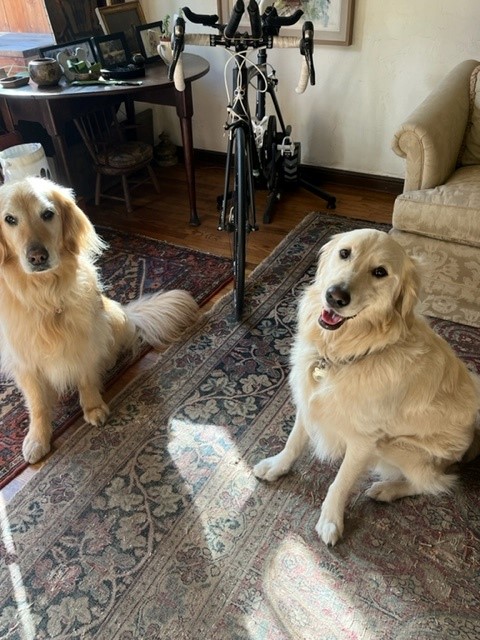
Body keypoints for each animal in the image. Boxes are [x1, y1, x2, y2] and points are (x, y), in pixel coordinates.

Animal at [0, 178, 199, 462]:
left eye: (47, 214)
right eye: (10, 219)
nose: (37, 256)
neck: (46, 296)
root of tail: (128, 313)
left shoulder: (85, 339)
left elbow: (86, 377)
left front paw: (93, 407)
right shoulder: (24, 361)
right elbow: (37, 404)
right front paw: (38, 438)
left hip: (110, 316)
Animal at [253, 230, 478, 544]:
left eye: (380, 272)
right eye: (345, 253)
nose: (335, 296)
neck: (345, 352)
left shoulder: (364, 440)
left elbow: (340, 482)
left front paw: (330, 520)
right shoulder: (308, 402)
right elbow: (293, 442)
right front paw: (277, 466)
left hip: (394, 446)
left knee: (435, 482)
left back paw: (387, 489)